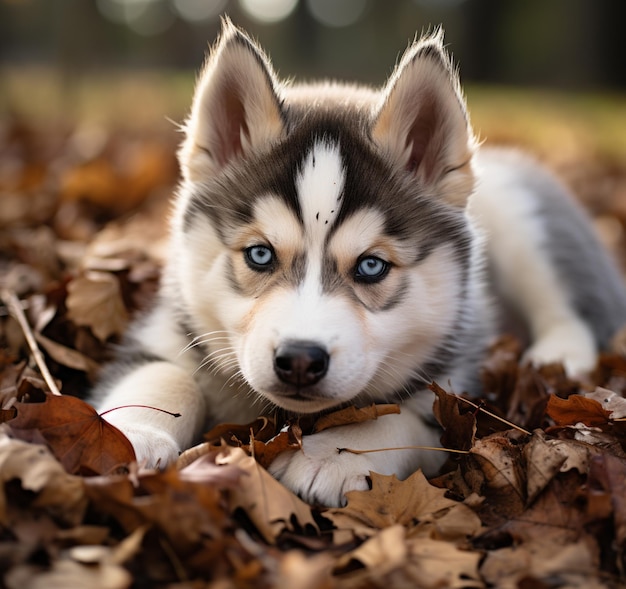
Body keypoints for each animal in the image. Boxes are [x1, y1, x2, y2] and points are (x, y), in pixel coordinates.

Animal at [92, 19, 624, 506]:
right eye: (260, 254)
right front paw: (133, 432)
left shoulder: (453, 384)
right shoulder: (171, 325)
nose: (299, 360)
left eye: (371, 267)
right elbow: (163, 374)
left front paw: (333, 454)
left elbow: (401, 416)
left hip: (520, 214)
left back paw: (554, 358)